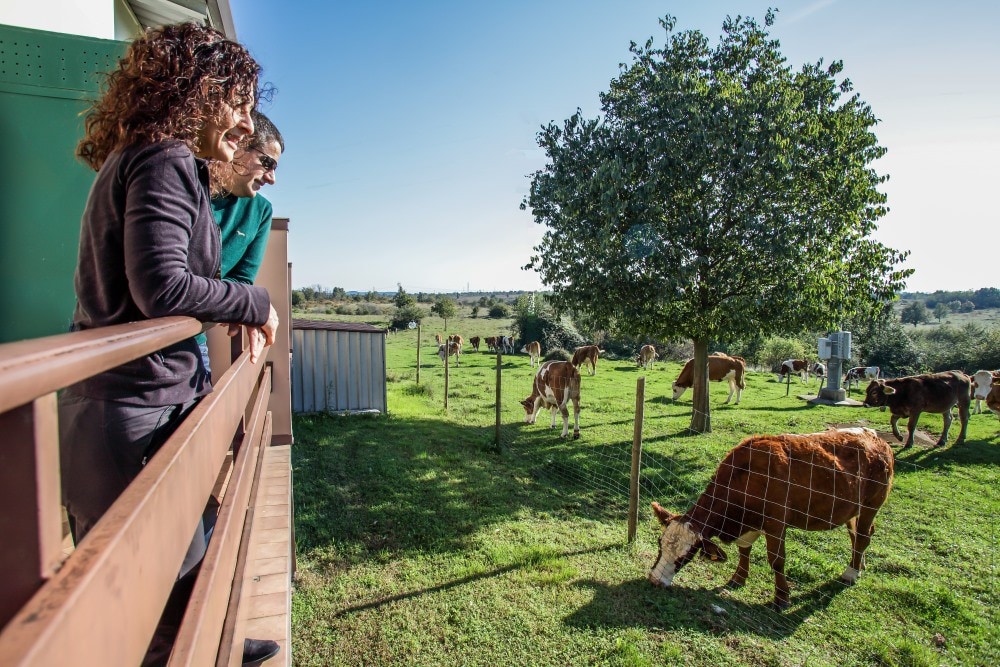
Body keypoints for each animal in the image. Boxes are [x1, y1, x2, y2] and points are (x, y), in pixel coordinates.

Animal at [648, 428, 900, 612]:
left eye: (686, 555)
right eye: (660, 546)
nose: (655, 580)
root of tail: (876, 438)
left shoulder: (775, 523)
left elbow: (777, 560)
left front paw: (782, 598)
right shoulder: (748, 523)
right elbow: (744, 549)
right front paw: (738, 578)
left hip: (872, 504)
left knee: (863, 535)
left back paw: (851, 573)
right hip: (851, 510)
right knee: (857, 535)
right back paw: (860, 565)